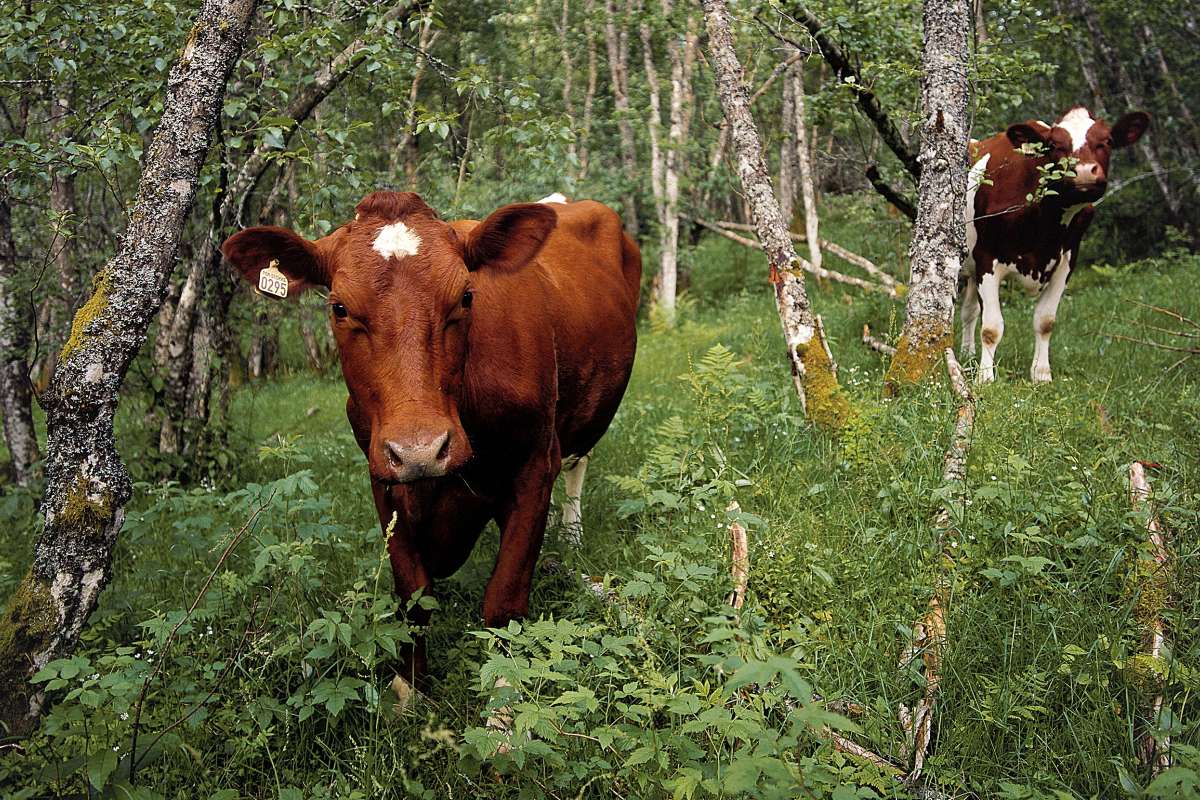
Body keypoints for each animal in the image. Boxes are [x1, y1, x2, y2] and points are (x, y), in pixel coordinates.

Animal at [222, 191, 643, 681]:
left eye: (465, 296)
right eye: (339, 307)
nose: (420, 450)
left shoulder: (536, 463)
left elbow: (504, 602)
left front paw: (505, 689)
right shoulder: (383, 475)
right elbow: (413, 597)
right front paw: (410, 688)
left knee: (579, 463)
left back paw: (571, 536)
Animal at [960, 104, 1147, 383]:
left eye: (1107, 141)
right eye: (1054, 145)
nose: (1083, 171)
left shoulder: (1066, 261)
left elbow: (1045, 321)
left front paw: (1041, 375)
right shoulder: (986, 259)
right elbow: (992, 327)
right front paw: (985, 378)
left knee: (969, 311)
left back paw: (968, 353)